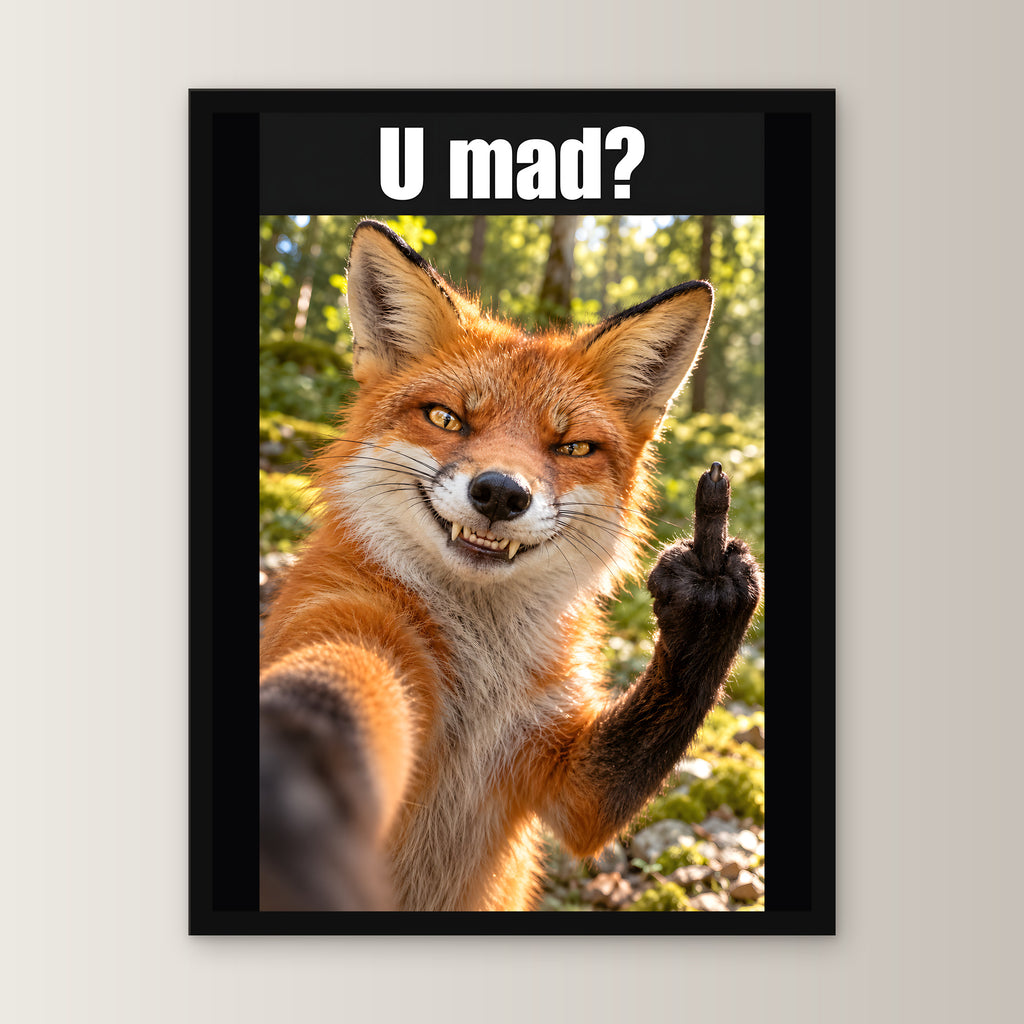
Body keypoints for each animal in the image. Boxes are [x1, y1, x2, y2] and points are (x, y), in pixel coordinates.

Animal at [258, 219, 762, 912]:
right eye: (446, 417)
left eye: (572, 447)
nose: (500, 493)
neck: (482, 680)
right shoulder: (345, 623)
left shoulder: (571, 785)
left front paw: (708, 593)